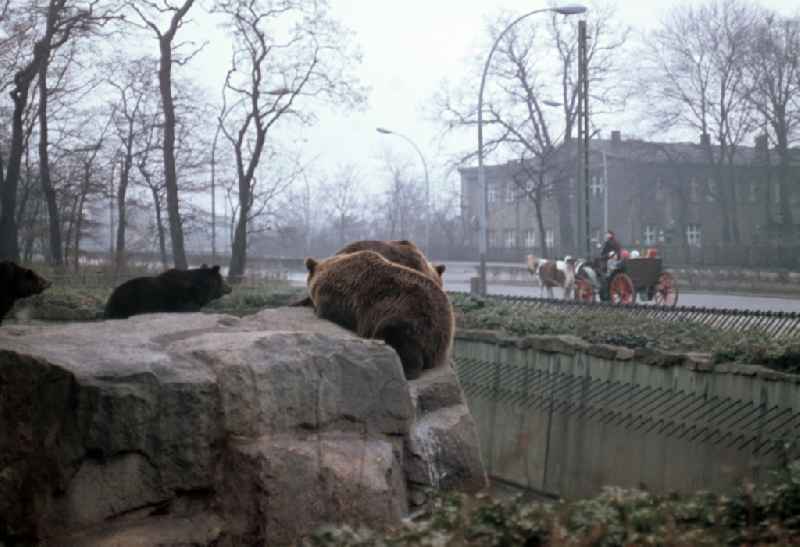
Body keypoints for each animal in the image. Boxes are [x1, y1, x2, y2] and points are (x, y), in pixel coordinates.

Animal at [104, 264, 233, 318]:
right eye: (223, 279)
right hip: (130, 300)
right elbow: (189, 307)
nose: (230, 288)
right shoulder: (183, 299)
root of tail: (112, 296)